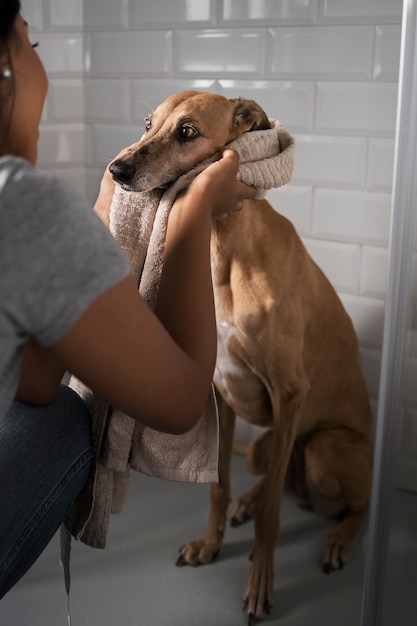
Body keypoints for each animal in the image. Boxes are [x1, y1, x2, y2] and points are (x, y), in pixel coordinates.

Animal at [107, 90, 374, 620]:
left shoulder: (291, 394)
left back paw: (337, 539)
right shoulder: (222, 391)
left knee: (355, 503)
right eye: (148, 124)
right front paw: (209, 544)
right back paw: (248, 503)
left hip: (325, 448)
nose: (117, 169)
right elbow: (218, 486)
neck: (223, 248)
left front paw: (260, 584)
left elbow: (273, 514)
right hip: (262, 447)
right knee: (271, 475)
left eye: (187, 131)